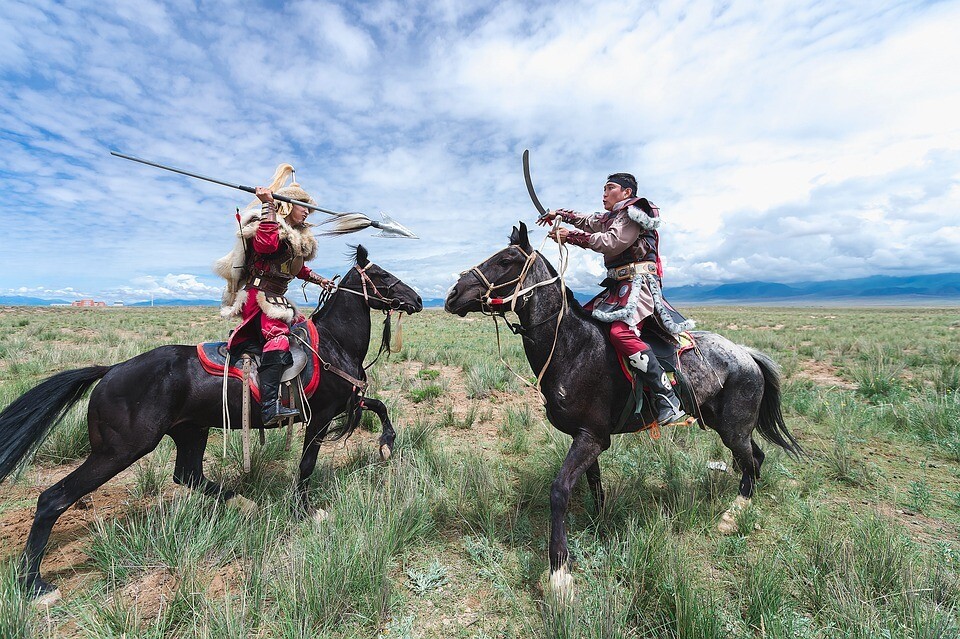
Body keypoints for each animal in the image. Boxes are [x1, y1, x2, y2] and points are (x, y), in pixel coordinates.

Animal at [0, 246, 420, 604]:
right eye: (382, 275)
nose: (416, 299)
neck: (333, 344)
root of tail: (111, 370)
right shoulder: (320, 416)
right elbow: (306, 465)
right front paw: (305, 511)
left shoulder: (345, 403)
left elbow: (380, 406)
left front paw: (387, 443)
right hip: (120, 450)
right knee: (53, 499)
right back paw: (34, 584)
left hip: (191, 431)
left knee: (188, 474)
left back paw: (241, 502)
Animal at [446, 225, 800, 600]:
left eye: (506, 260)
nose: (452, 294)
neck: (572, 347)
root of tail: (746, 353)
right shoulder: (588, 438)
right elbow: (594, 485)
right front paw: (600, 525)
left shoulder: (591, 438)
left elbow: (559, 491)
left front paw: (560, 573)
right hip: (726, 425)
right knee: (755, 459)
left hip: (735, 427)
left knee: (749, 461)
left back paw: (732, 515)